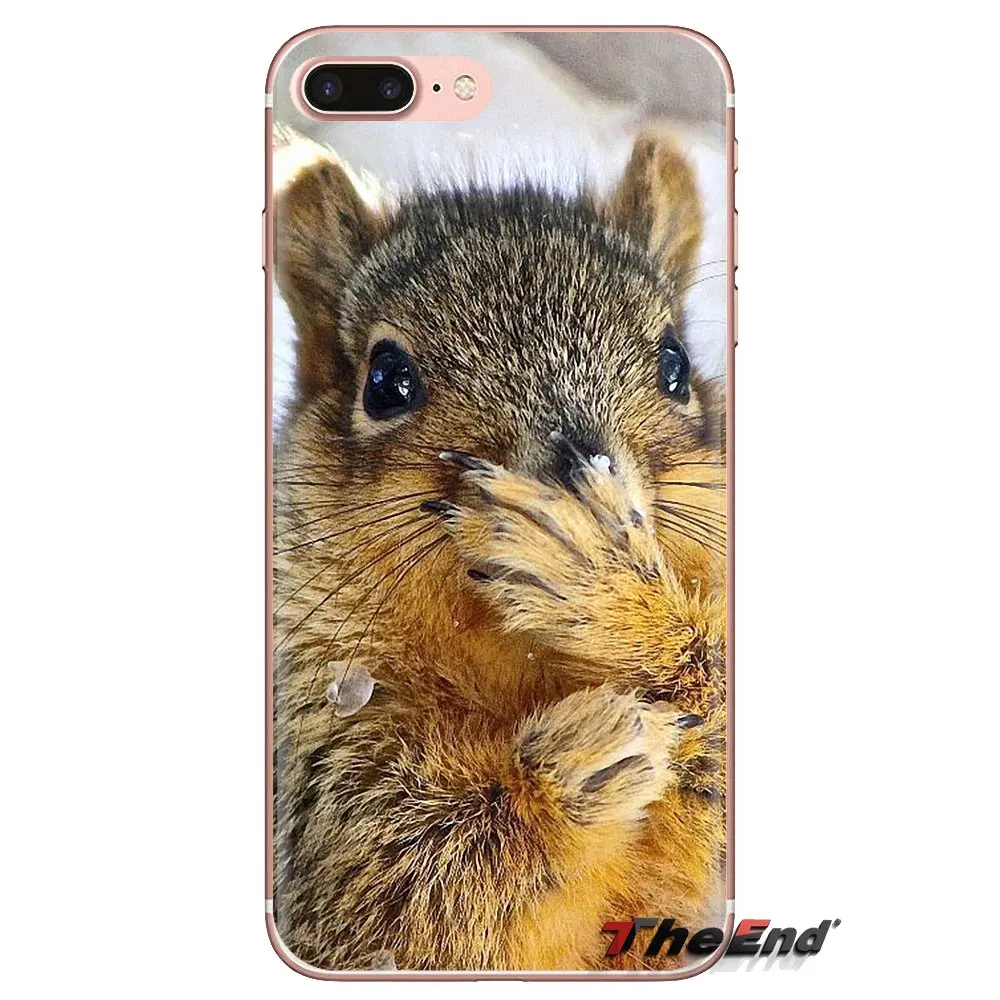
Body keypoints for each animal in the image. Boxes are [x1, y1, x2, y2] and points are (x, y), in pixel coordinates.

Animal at [272, 131, 727, 972]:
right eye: (385, 379)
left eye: (675, 364)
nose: (576, 475)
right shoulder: (312, 755)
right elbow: (384, 882)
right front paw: (561, 771)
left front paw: (605, 589)